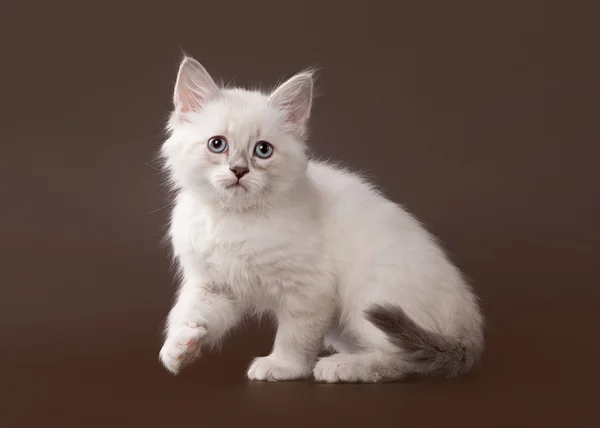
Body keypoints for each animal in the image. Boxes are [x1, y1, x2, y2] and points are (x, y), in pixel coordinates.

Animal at [156, 56, 482, 382]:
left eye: (262, 150)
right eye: (217, 144)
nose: (239, 170)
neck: (233, 217)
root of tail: (470, 326)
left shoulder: (309, 290)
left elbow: (295, 338)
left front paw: (282, 366)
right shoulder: (214, 286)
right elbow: (191, 313)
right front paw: (180, 347)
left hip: (369, 295)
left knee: (403, 362)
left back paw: (340, 367)